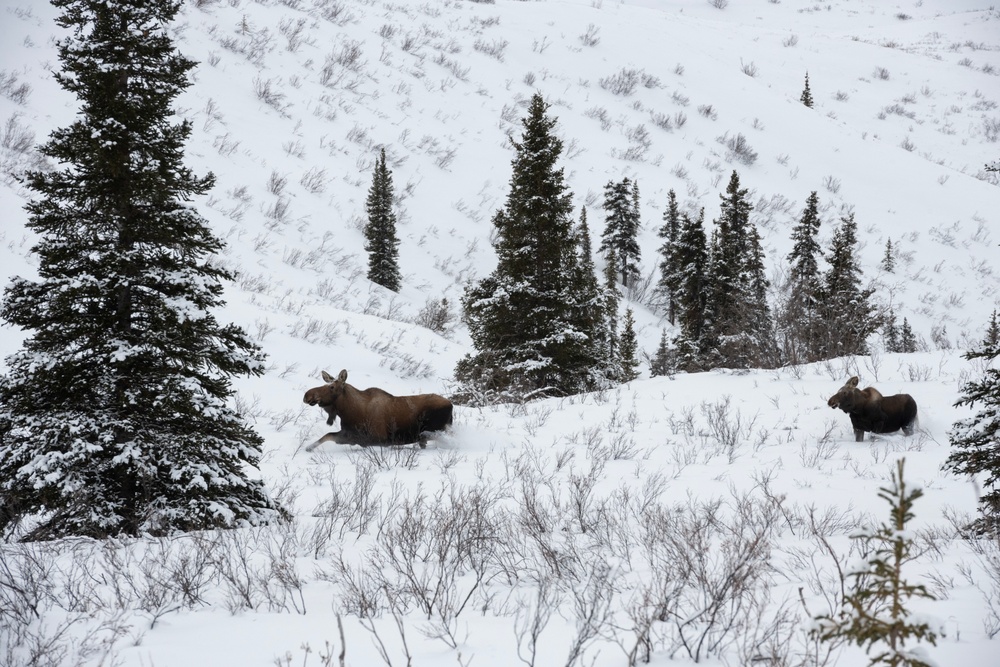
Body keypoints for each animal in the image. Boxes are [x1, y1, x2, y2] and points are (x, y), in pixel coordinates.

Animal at [298, 368, 452, 452]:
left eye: (331, 387)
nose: (307, 395)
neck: (348, 411)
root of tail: (451, 405)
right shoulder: (347, 431)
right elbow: (328, 435)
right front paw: (309, 447)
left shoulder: (376, 437)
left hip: (436, 431)